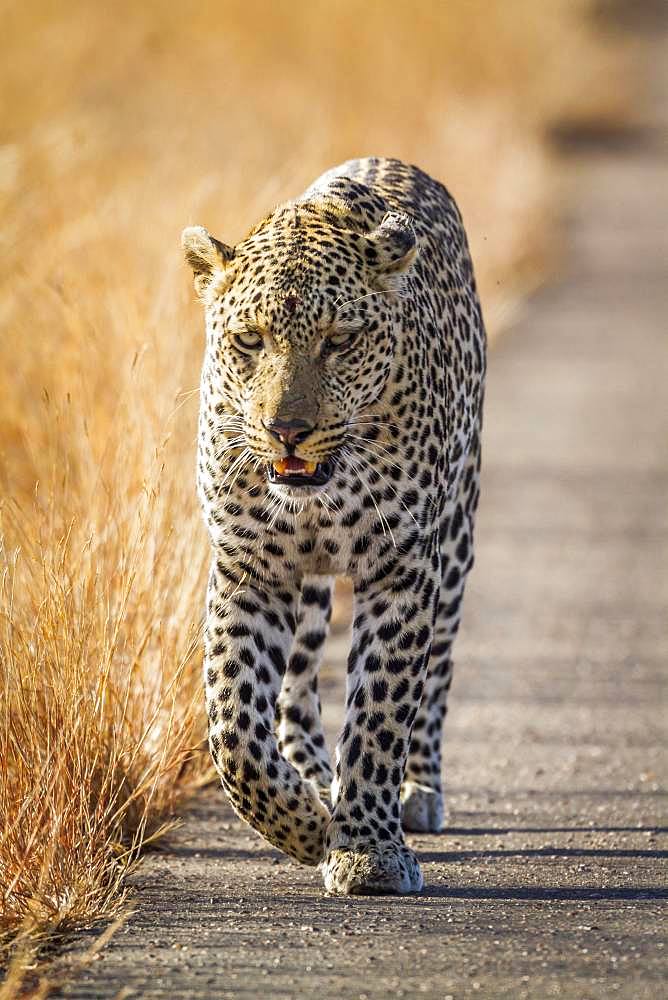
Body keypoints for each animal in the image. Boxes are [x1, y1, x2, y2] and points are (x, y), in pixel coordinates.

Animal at [183, 158, 486, 900]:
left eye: (340, 341)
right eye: (250, 340)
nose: (286, 430)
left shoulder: (402, 568)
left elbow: (380, 712)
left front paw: (367, 849)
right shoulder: (249, 568)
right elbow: (233, 725)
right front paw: (304, 825)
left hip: (456, 540)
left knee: (436, 672)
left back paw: (418, 791)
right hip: (311, 585)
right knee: (296, 684)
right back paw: (315, 779)